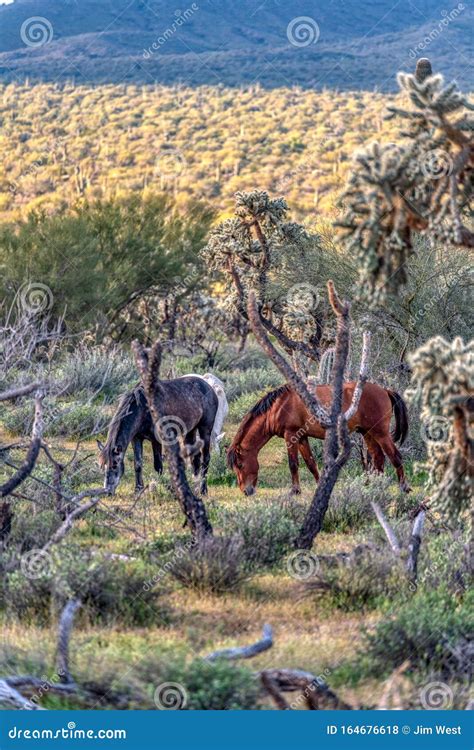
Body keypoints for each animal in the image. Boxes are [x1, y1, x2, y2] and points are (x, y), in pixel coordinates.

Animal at [227, 382, 410, 496]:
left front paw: (295, 490)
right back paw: (374, 486)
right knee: (378, 458)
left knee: (395, 457)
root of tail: (385, 391)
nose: (246, 491)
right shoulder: (302, 438)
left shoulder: (290, 435)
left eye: (240, 465)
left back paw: (404, 487)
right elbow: (311, 463)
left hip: (380, 433)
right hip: (368, 433)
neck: (279, 405)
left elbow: (293, 464)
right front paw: (319, 485)